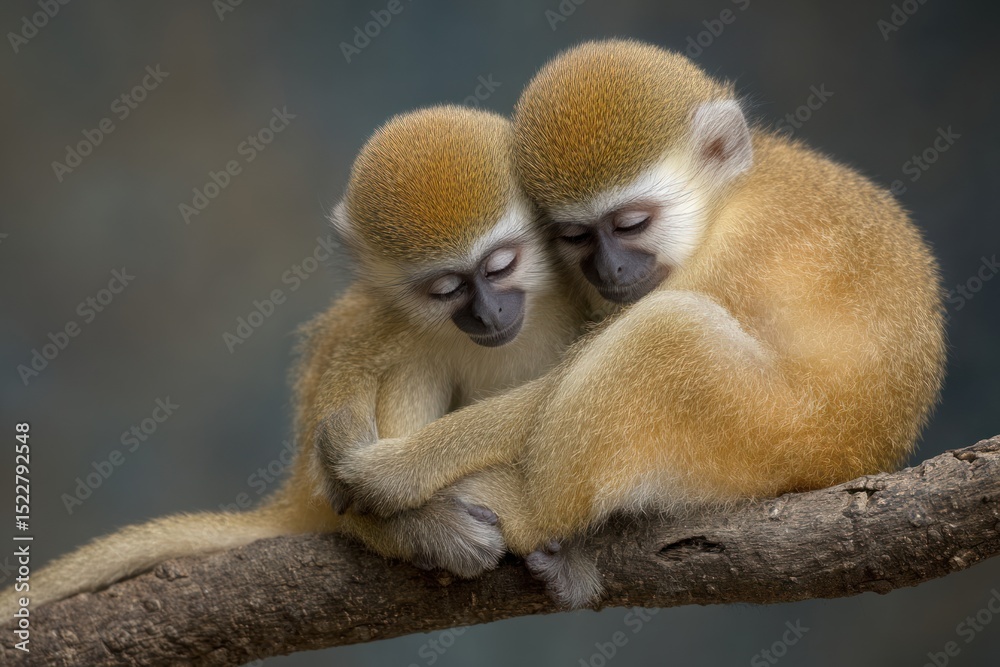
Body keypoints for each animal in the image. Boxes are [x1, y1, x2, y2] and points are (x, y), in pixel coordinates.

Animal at [0, 105, 589, 617]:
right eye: (446, 289)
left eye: (499, 266)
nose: (488, 313)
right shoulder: (388, 311)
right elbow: (348, 383)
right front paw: (388, 496)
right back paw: (412, 528)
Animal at [331, 39, 947, 607]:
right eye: (576, 235)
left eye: (630, 224)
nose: (610, 269)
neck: (728, 199)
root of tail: (857, 458)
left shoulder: (732, 254)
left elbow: (560, 381)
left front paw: (393, 471)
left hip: (781, 438)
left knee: (671, 332)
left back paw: (527, 510)